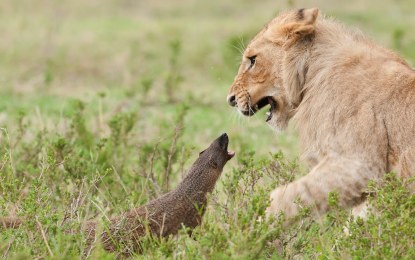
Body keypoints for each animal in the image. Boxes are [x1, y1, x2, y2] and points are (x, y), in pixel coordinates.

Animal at [228, 8, 415, 222]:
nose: (230, 99)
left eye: (252, 60)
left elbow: (285, 197)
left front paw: (253, 227)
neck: (312, 72)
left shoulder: (359, 166)